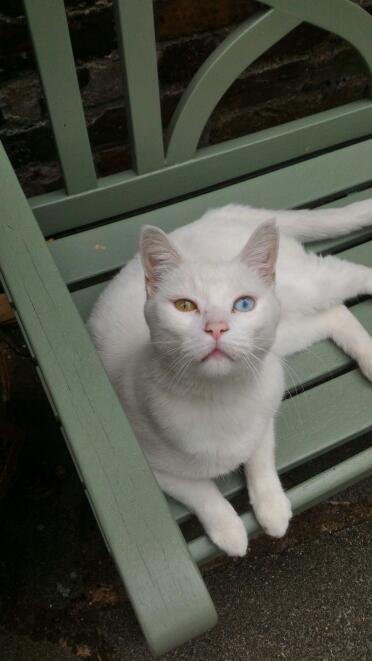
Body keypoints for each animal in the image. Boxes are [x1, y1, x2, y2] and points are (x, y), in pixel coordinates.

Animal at [87, 201, 372, 556]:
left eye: (244, 304)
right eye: (184, 306)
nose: (216, 327)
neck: (221, 398)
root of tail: (215, 214)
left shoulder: (264, 413)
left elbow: (260, 460)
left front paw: (271, 506)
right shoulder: (148, 466)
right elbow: (201, 492)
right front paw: (231, 530)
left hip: (307, 291)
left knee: (351, 276)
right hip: (287, 333)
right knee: (334, 314)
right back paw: (370, 358)